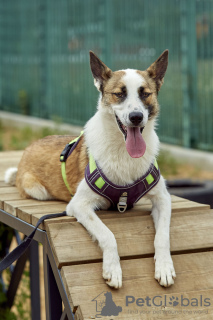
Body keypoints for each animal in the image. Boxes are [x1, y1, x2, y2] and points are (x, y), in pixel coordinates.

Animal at [5, 49, 176, 288]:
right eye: (119, 94)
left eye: (145, 94)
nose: (136, 117)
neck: (123, 151)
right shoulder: (79, 205)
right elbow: (107, 234)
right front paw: (113, 268)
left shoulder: (162, 199)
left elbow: (162, 236)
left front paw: (165, 266)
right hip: (37, 190)